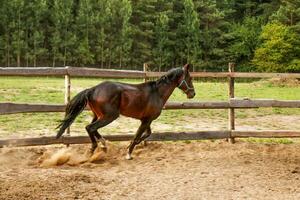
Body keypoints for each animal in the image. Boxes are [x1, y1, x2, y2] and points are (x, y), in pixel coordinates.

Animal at [55, 64, 197, 159]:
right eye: (190, 78)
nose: (193, 94)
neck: (157, 93)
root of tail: (92, 89)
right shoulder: (146, 120)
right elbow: (138, 135)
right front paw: (128, 153)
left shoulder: (146, 119)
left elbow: (146, 134)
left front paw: (128, 146)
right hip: (110, 116)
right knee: (91, 128)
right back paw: (96, 147)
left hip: (98, 115)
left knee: (90, 128)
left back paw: (102, 145)